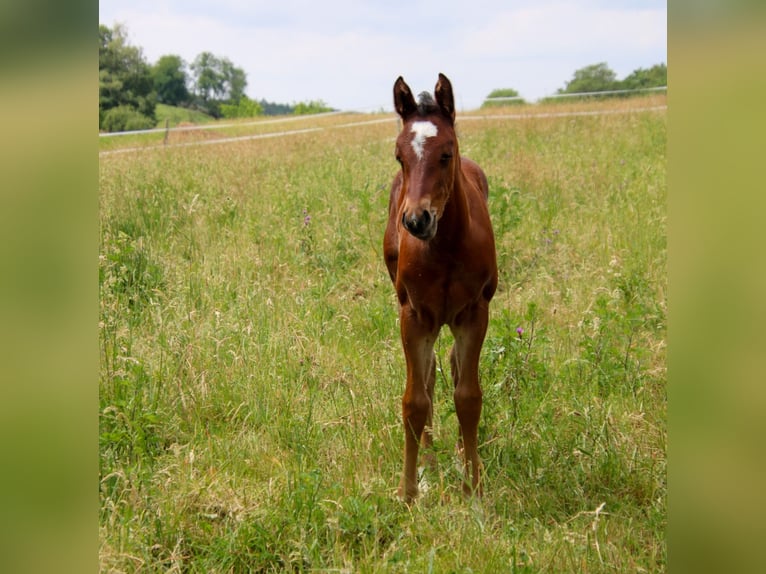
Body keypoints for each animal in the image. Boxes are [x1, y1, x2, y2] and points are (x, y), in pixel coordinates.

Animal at [383, 73, 498, 502]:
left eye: (446, 154)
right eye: (400, 157)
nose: (417, 220)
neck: (446, 247)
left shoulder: (474, 313)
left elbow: (468, 396)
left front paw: (473, 485)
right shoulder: (414, 316)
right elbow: (415, 401)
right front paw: (408, 491)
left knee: (452, 367)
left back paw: (466, 453)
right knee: (431, 374)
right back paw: (431, 461)